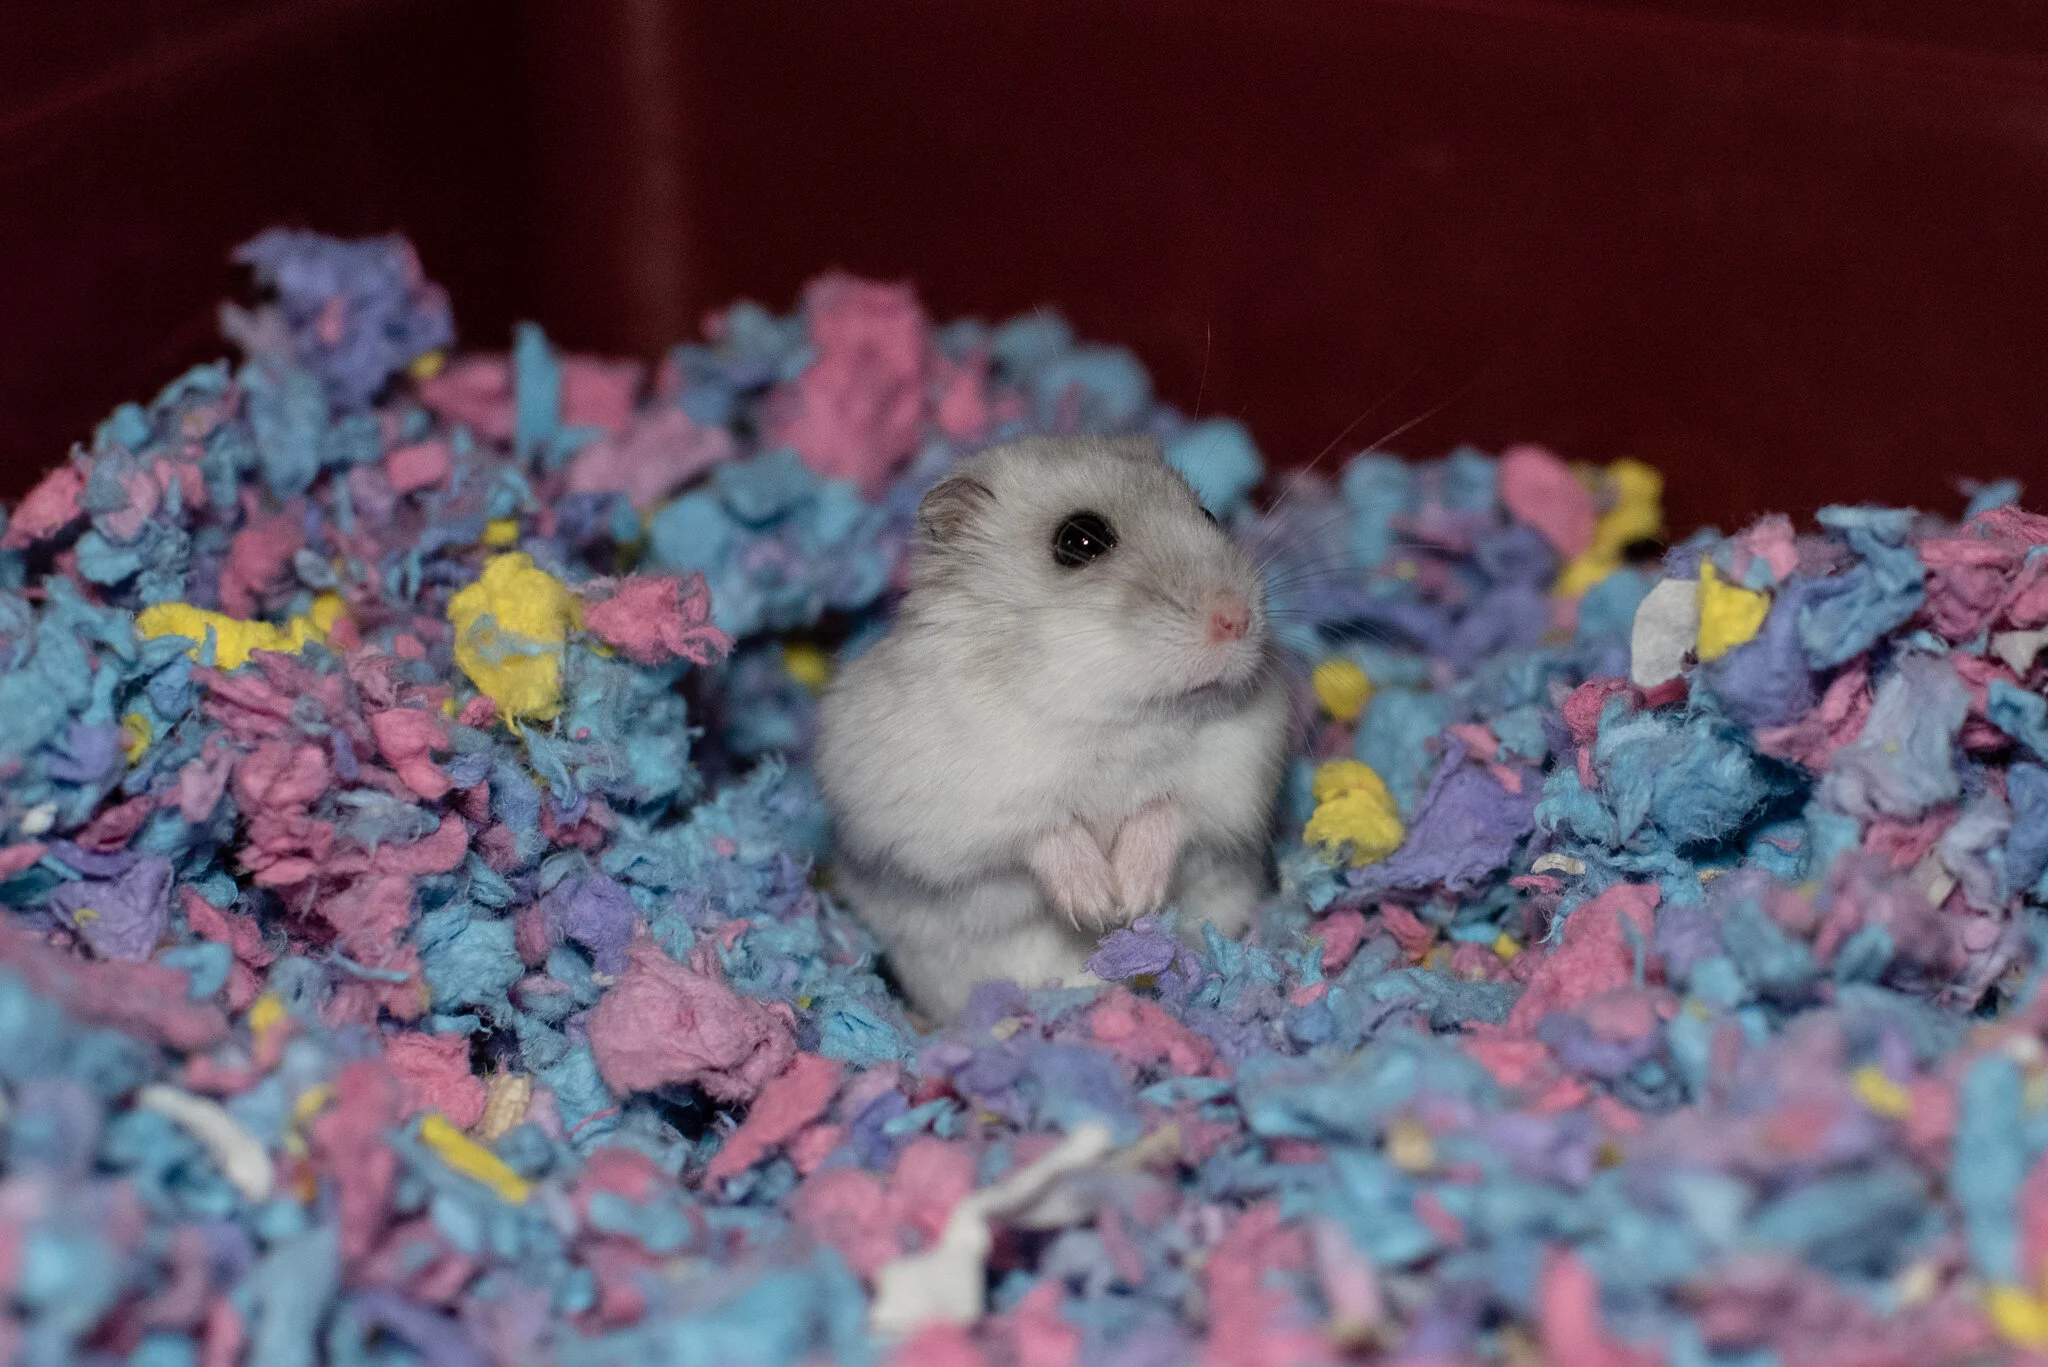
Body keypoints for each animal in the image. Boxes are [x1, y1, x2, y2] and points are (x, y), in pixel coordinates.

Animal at [815, 434, 1289, 1022]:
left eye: (1209, 515)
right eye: (1080, 540)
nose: (1237, 619)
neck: (1112, 716)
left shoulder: (1233, 769)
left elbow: (1168, 808)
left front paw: (1133, 899)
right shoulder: (959, 805)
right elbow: (1043, 830)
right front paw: (1097, 906)